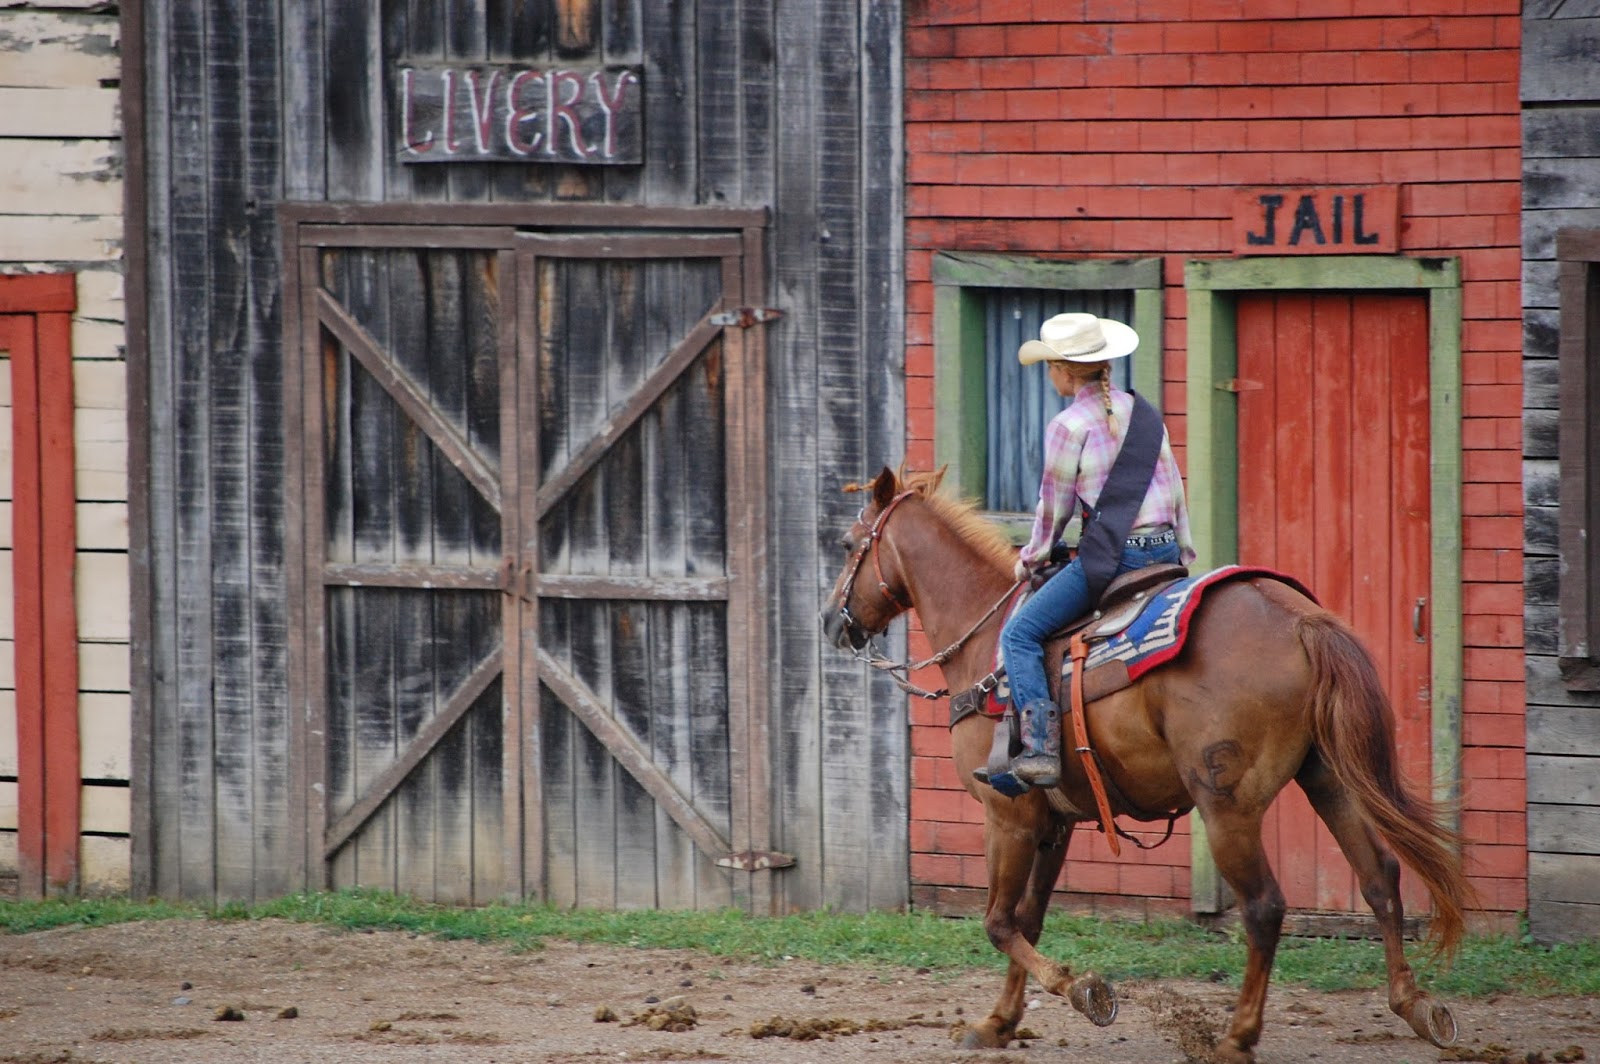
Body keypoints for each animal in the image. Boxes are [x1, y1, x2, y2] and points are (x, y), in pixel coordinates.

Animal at [825, 464, 1472, 1062]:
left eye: (850, 543)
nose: (833, 622)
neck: (986, 642)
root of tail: (1300, 621)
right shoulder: (1053, 820)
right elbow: (1028, 917)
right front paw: (999, 1022)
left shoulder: (1006, 815)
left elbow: (998, 921)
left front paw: (1084, 990)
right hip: (1327, 779)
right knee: (1379, 876)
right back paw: (1416, 1005)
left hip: (1226, 806)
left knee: (1265, 907)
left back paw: (1237, 1037)